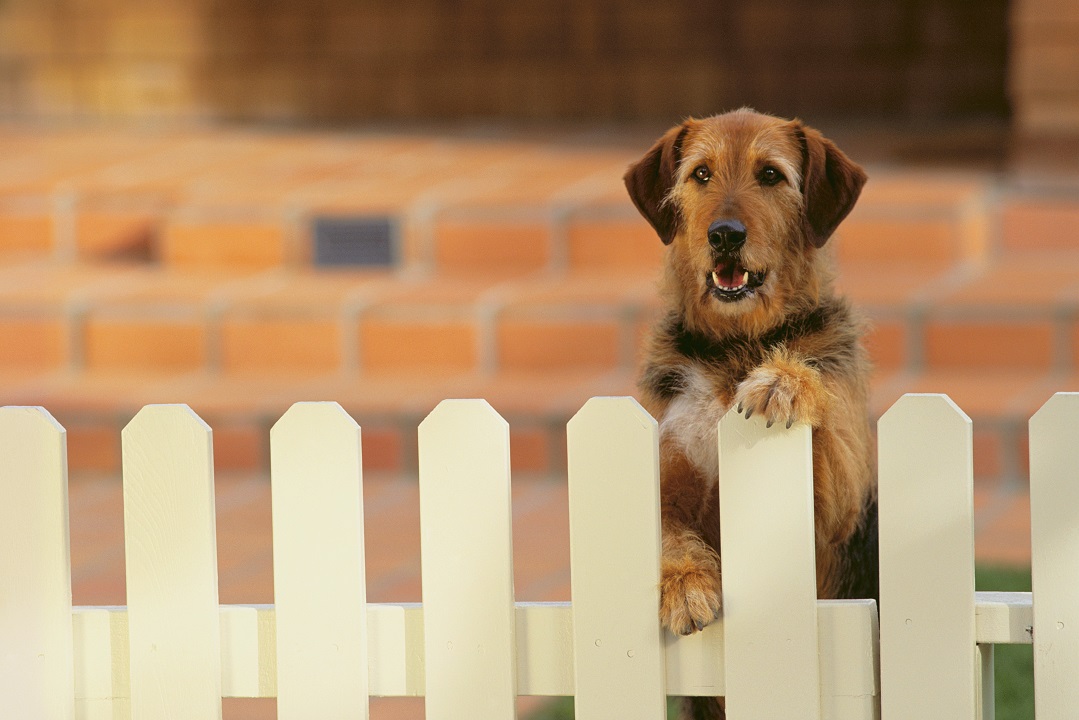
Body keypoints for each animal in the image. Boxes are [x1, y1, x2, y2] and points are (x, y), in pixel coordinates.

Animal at [625, 110, 876, 716]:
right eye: (701, 173)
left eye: (770, 174)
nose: (725, 235)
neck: (737, 345)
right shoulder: (667, 476)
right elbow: (667, 531)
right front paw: (687, 587)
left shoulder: (836, 508)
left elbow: (823, 423)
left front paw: (785, 381)